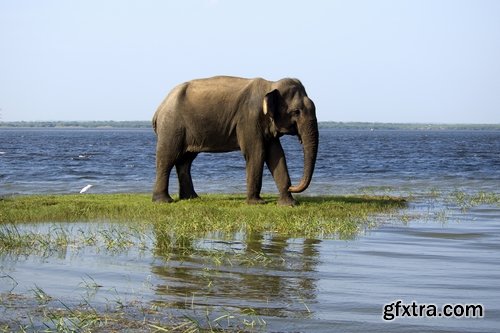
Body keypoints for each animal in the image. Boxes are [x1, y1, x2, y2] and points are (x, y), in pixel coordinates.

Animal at [150, 76, 318, 205]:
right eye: (296, 112)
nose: (292, 186)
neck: (271, 84)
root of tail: (158, 109)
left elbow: (276, 155)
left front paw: (289, 204)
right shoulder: (249, 119)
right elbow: (257, 152)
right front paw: (257, 203)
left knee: (185, 161)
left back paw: (191, 198)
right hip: (171, 126)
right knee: (167, 158)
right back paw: (163, 201)